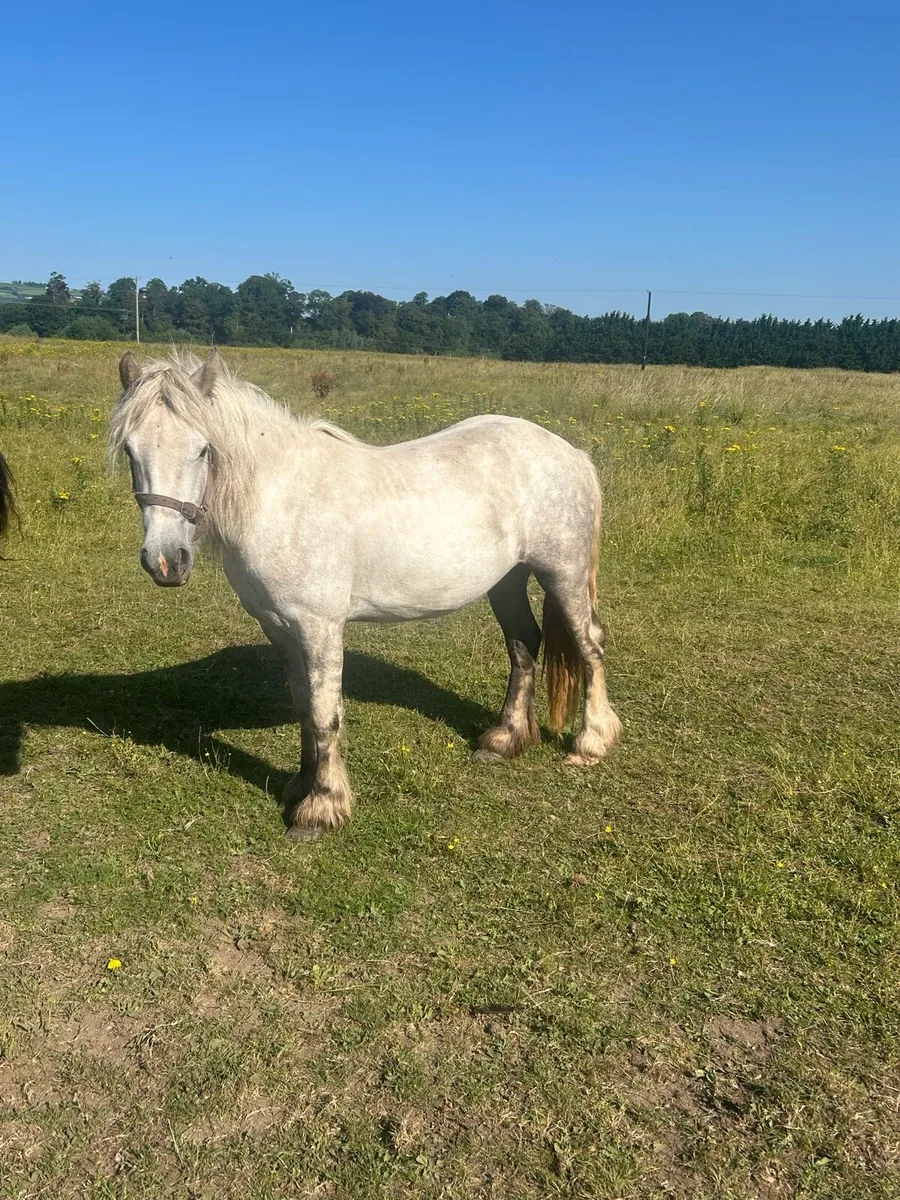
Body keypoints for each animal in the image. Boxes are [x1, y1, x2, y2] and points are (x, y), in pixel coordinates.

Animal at [110, 350, 622, 839]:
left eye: (202, 449)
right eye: (132, 450)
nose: (165, 560)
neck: (281, 500)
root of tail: (570, 452)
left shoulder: (320, 627)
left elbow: (324, 713)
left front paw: (320, 810)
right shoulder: (279, 628)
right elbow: (303, 706)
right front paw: (300, 786)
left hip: (564, 573)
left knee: (589, 644)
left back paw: (592, 743)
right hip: (507, 580)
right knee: (523, 645)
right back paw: (504, 740)